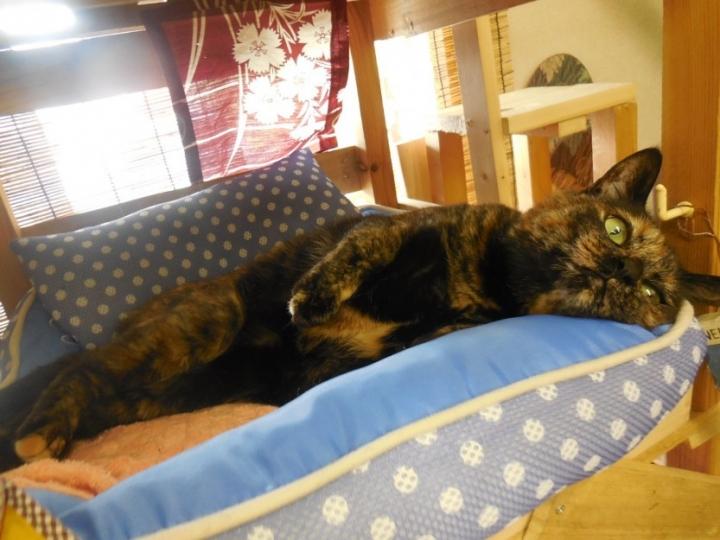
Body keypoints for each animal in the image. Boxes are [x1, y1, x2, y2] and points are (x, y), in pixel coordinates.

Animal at [0, 148, 719, 472]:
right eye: (617, 230)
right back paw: (41, 433)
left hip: (163, 393)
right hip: (198, 328)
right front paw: (310, 300)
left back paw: (49, 441)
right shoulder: (389, 231)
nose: (624, 271)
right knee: (86, 368)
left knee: (97, 387)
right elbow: (354, 254)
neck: (490, 282)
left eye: (654, 295)